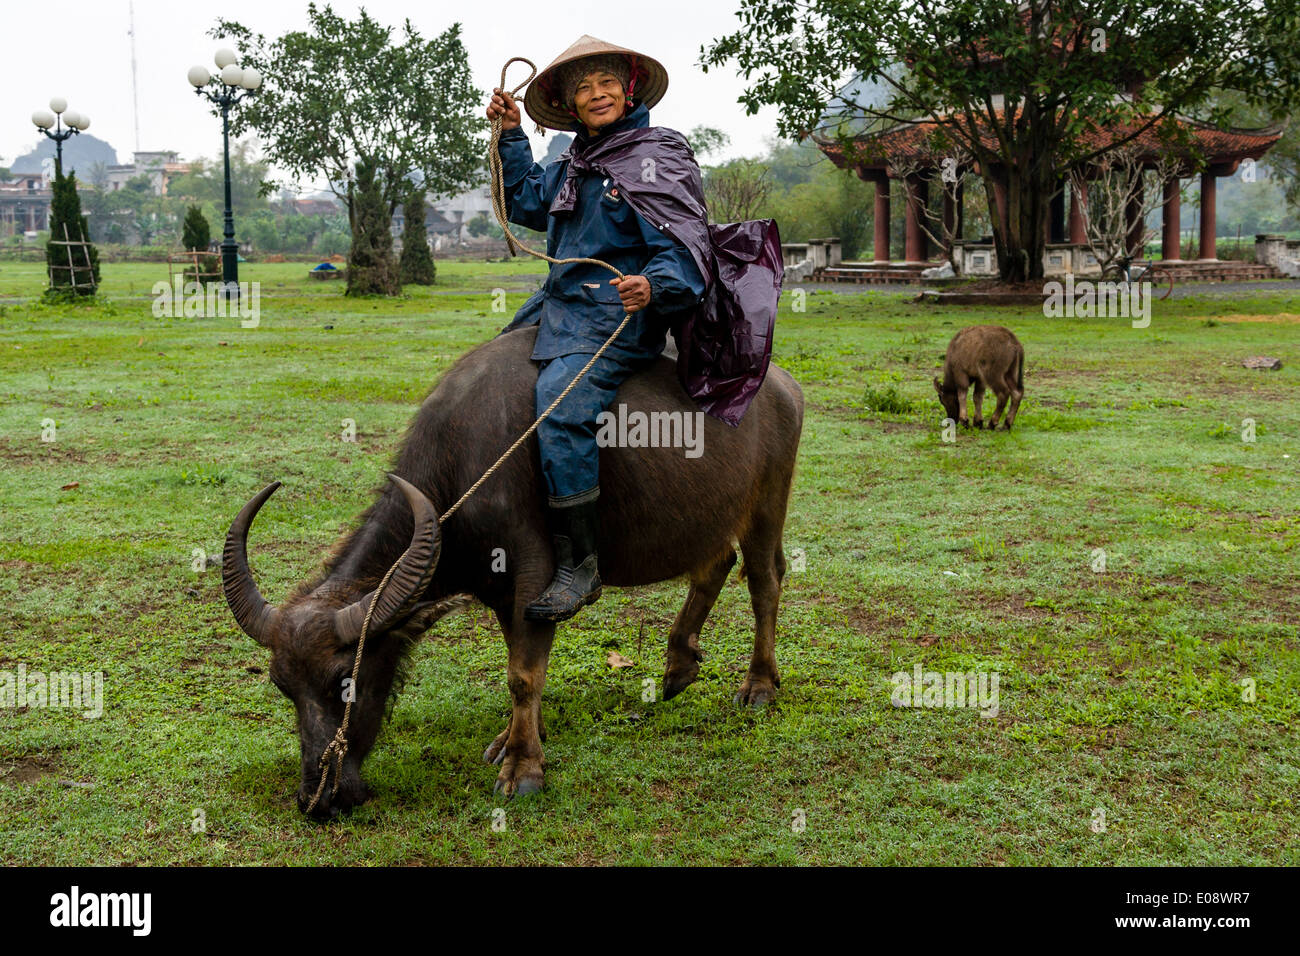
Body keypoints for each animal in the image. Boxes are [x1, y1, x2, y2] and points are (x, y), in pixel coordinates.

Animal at [228, 325, 806, 816]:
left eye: (344, 682)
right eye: (283, 687)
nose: (317, 798)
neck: (461, 468)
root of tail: (782, 385)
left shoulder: (534, 578)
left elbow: (522, 675)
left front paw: (522, 768)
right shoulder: (500, 591)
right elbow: (519, 664)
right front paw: (513, 740)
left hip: (766, 504)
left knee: (764, 580)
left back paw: (759, 686)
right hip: (712, 515)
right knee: (715, 564)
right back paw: (679, 665)